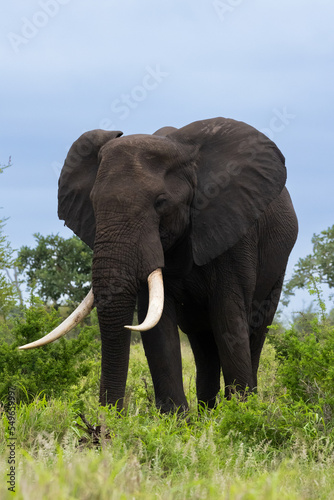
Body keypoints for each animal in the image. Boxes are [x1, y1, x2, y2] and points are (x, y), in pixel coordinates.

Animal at [19, 118, 298, 414]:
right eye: (93, 203)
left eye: (161, 203)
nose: (107, 416)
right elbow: (156, 328)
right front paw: (177, 419)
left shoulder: (234, 230)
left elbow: (229, 319)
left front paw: (241, 413)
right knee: (202, 341)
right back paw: (207, 413)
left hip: (277, 266)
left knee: (254, 329)